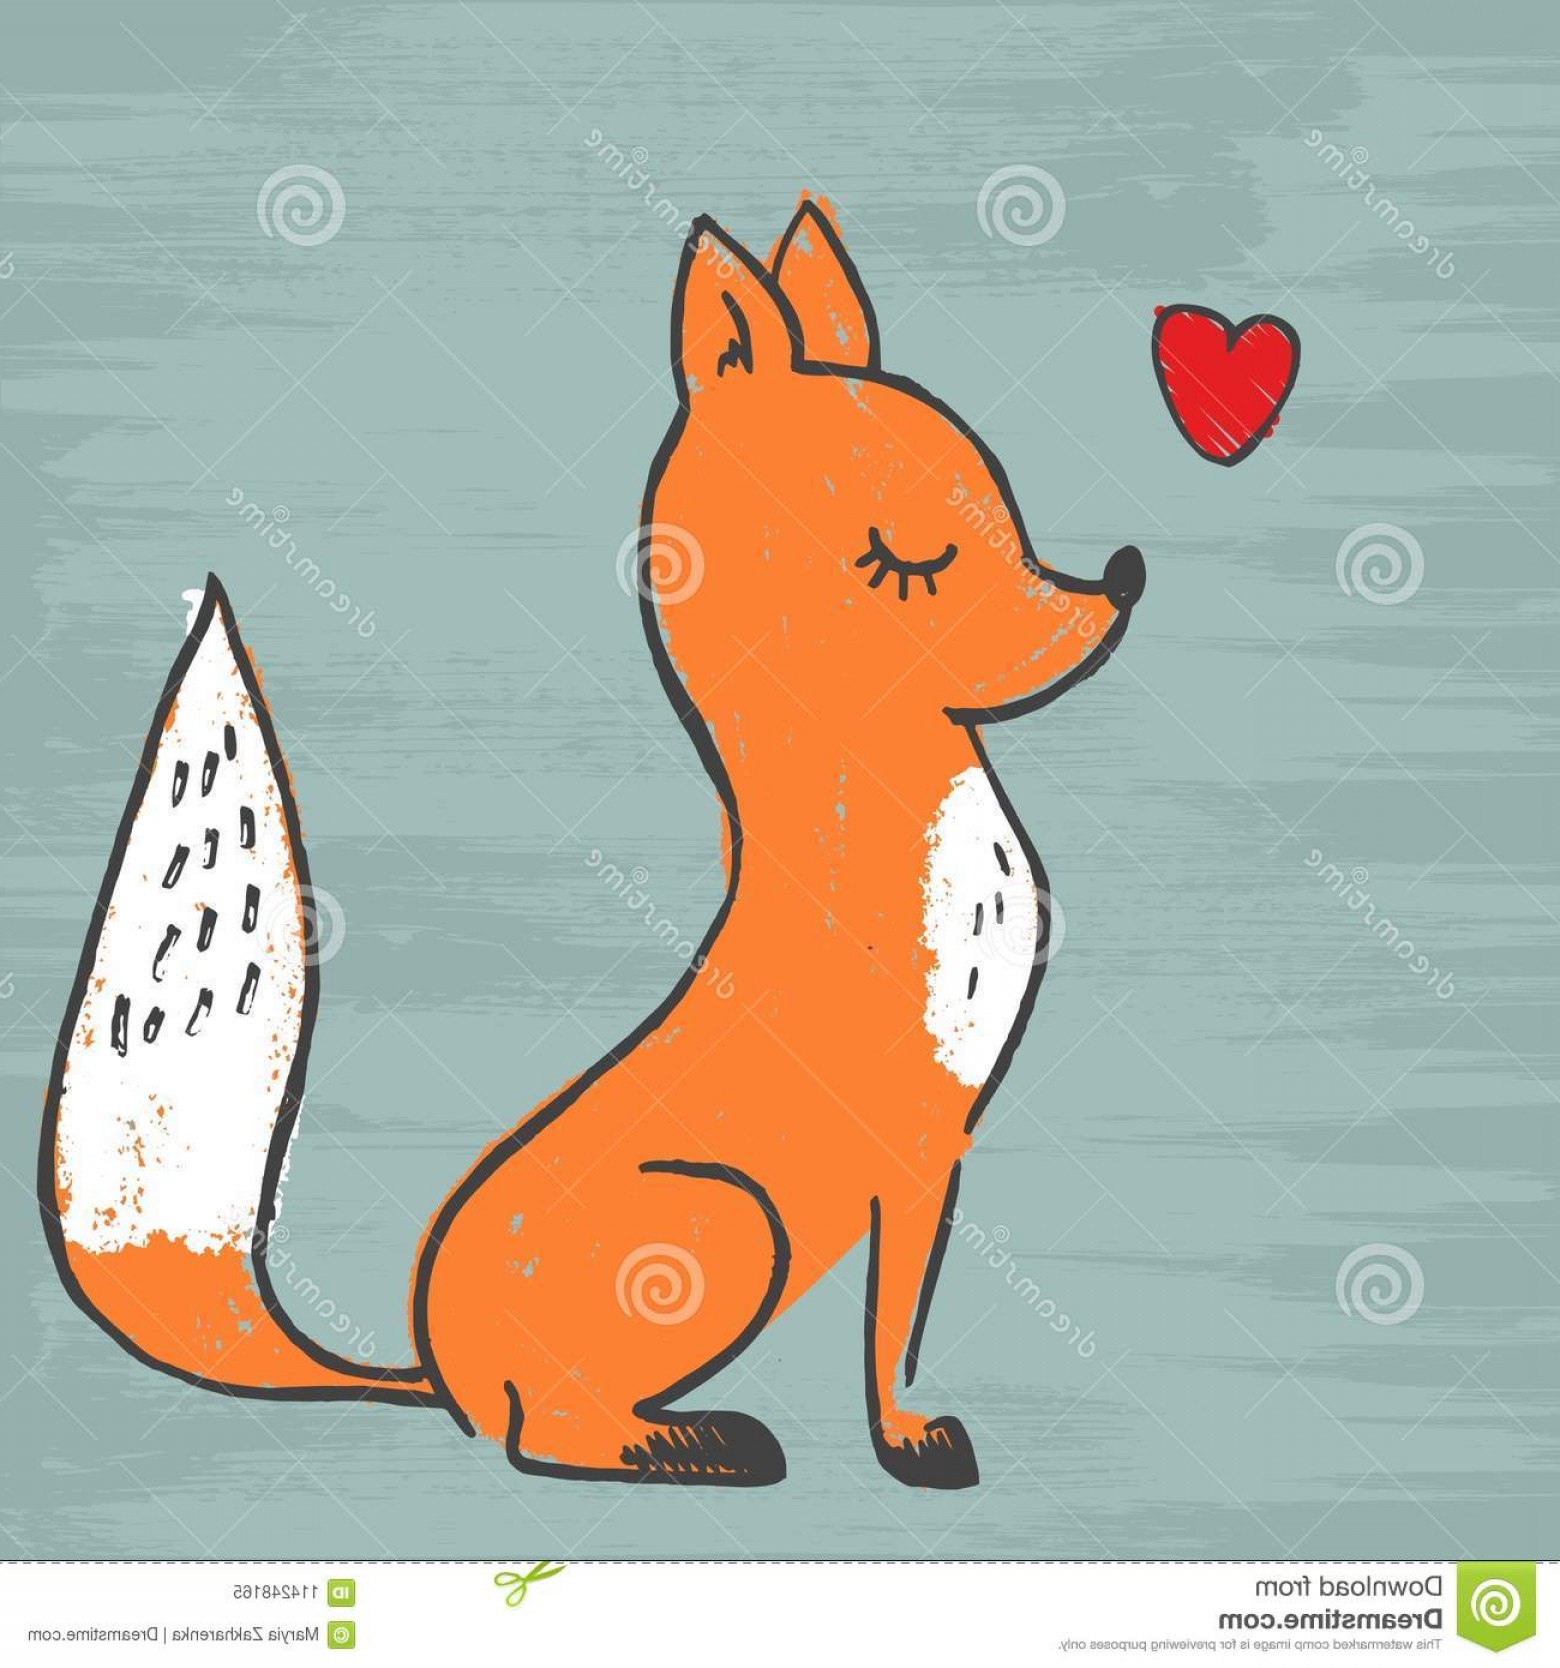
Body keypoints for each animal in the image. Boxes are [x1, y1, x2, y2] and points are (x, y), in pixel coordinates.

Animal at [41, 197, 1144, 1491]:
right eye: (907, 560)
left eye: (1003, 509)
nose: (1121, 582)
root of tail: (437, 1368)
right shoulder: (914, 1142)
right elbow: (891, 1336)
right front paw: (908, 1446)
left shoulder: (943, 1144)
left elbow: (899, 1321)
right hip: (731, 1218)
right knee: (546, 1434)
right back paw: (694, 1443)